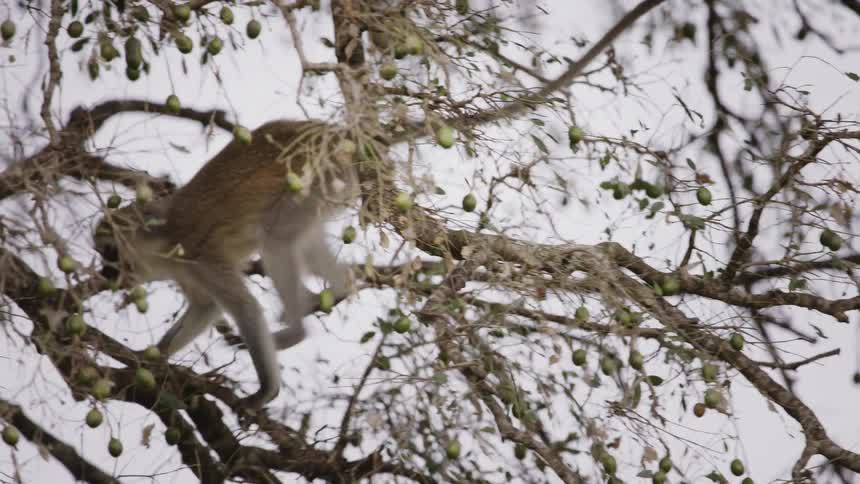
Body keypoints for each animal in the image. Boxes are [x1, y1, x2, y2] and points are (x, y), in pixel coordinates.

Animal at [94, 120, 360, 408]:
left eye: (110, 252)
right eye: (102, 254)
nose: (105, 272)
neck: (166, 239)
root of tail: (333, 135)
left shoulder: (203, 260)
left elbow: (245, 308)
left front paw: (267, 391)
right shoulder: (185, 270)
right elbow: (205, 308)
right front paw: (152, 356)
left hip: (316, 182)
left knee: (276, 243)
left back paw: (295, 333)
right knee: (305, 246)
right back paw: (340, 287)